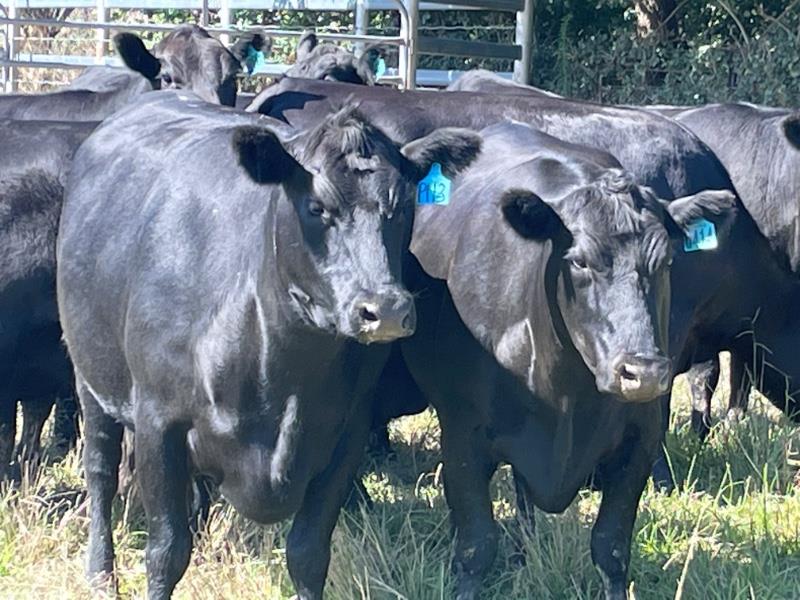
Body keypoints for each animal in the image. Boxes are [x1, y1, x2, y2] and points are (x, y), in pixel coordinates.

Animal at [56, 89, 480, 599]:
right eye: (317, 207)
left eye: (401, 208)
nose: (386, 308)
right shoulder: (159, 422)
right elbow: (165, 553)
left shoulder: (347, 435)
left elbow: (308, 554)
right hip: (90, 375)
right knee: (100, 469)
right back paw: (100, 573)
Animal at [389, 119, 735, 600]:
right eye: (580, 261)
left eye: (665, 260)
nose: (644, 373)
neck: (567, 394)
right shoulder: (462, 437)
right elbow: (476, 546)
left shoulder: (640, 441)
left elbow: (611, 548)